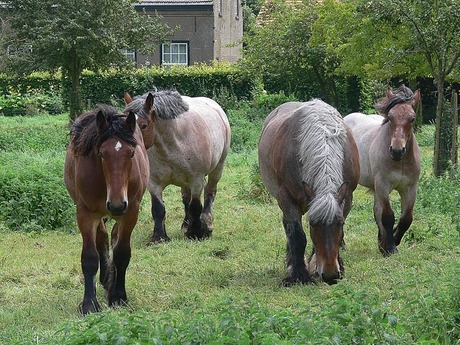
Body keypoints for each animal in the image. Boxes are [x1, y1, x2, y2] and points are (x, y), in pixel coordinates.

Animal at [63, 103, 150, 314]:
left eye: (132, 153)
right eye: (101, 153)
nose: (117, 204)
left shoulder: (130, 212)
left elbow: (122, 253)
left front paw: (118, 296)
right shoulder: (85, 214)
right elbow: (89, 257)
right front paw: (89, 303)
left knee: (113, 236)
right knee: (101, 239)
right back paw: (104, 280)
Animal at [123, 88, 230, 242]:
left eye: (143, 125)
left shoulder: (197, 180)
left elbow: (195, 206)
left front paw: (196, 233)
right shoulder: (153, 183)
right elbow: (158, 208)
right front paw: (159, 237)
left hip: (217, 169)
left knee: (210, 192)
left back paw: (207, 223)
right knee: (186, 198)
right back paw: (186, 224)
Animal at [258, 98, 360, 284]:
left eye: (340, 223)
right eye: (313, 224)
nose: (330, 275)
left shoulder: (347, 197)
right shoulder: (287, 198)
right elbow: (297, 236)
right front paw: (299, 273)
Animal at [344, 84, 420, 254]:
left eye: (412, 118)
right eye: (390, 117)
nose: (397, 151)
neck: (400, 163)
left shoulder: (410, 188)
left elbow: (406, 218)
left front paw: (391, 241)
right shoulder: (383, 185)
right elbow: (387, 216)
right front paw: (391, 247)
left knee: (376, 211)